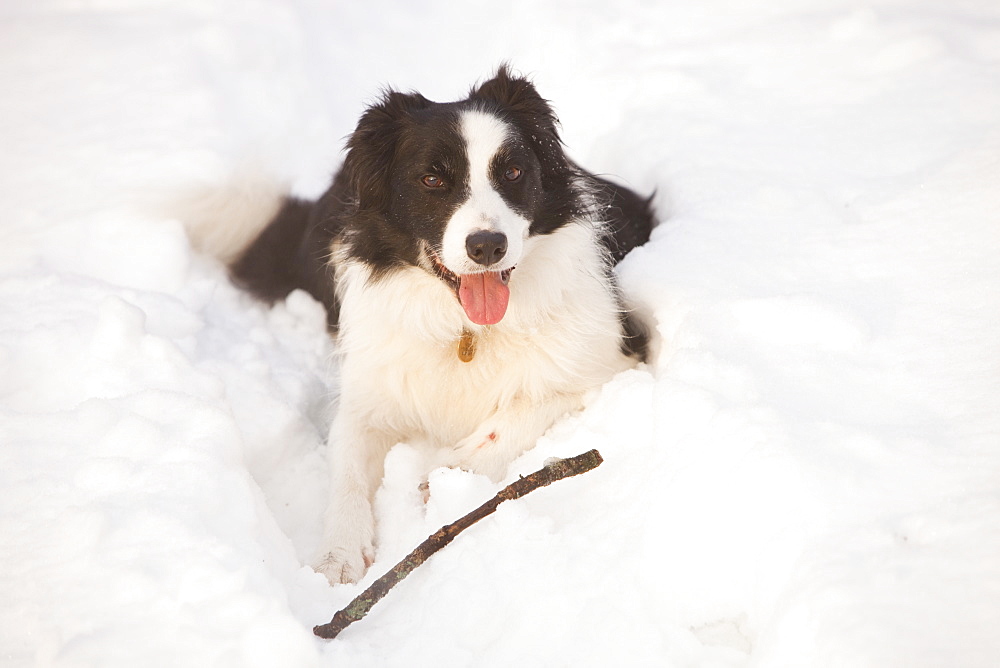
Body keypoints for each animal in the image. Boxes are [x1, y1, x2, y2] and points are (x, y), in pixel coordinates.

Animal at [225, 65, 656, 580]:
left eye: (513, 172)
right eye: (431, 179)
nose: (487, 246)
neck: (466, 331)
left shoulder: (612, 365)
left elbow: (525, 410)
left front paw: (446, 475)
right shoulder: (370, 392)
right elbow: (347, 470)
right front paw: (338, 558)